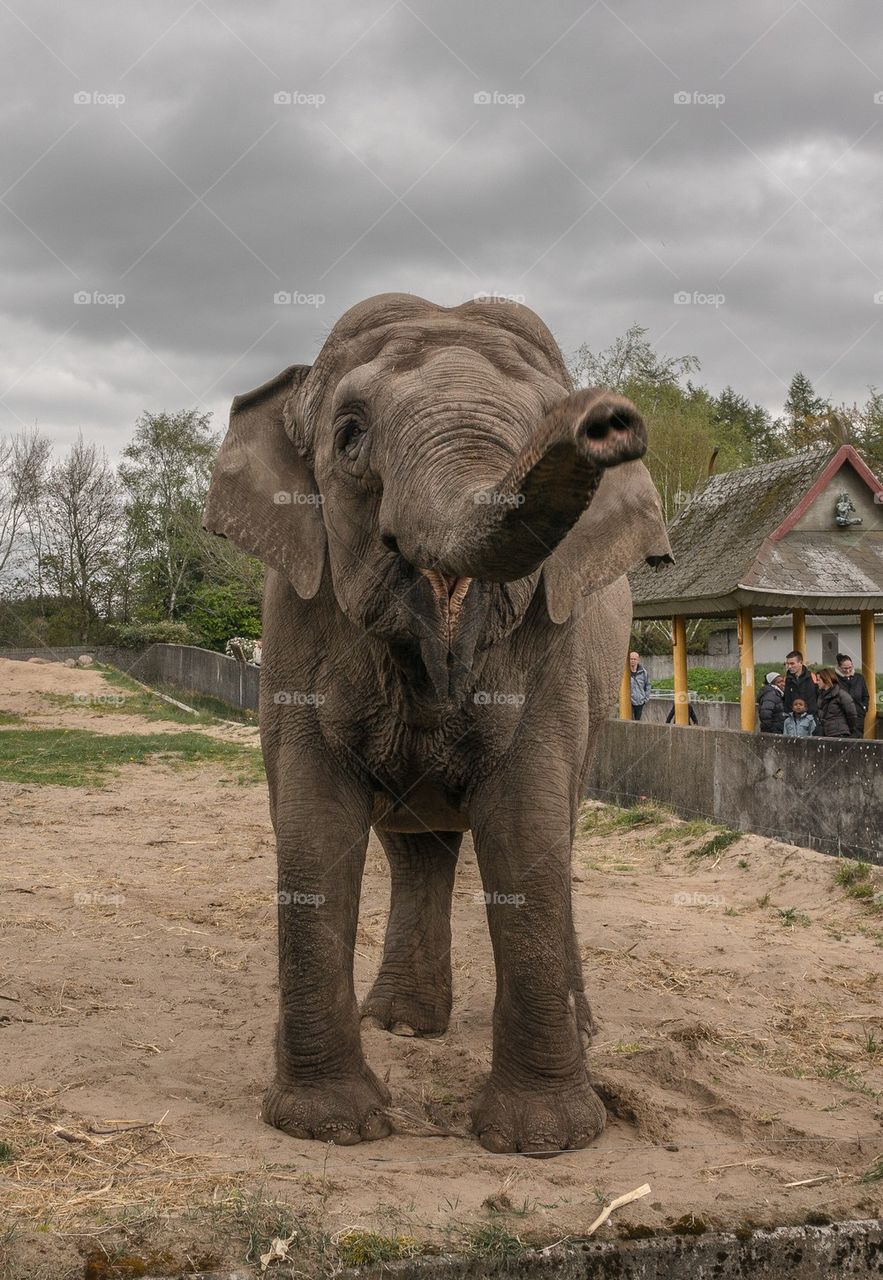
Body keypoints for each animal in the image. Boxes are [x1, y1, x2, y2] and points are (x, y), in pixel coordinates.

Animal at [200, 294, 665, 1157]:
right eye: (349, 436)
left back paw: (573, 1034)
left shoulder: (552, 650)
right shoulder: (294, 621)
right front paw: (331, 1127)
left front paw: (544, 1141)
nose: (608, 419)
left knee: (549, 839)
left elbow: (524, 826)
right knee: (418, 849)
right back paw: (403, 1026)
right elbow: (313, 822)